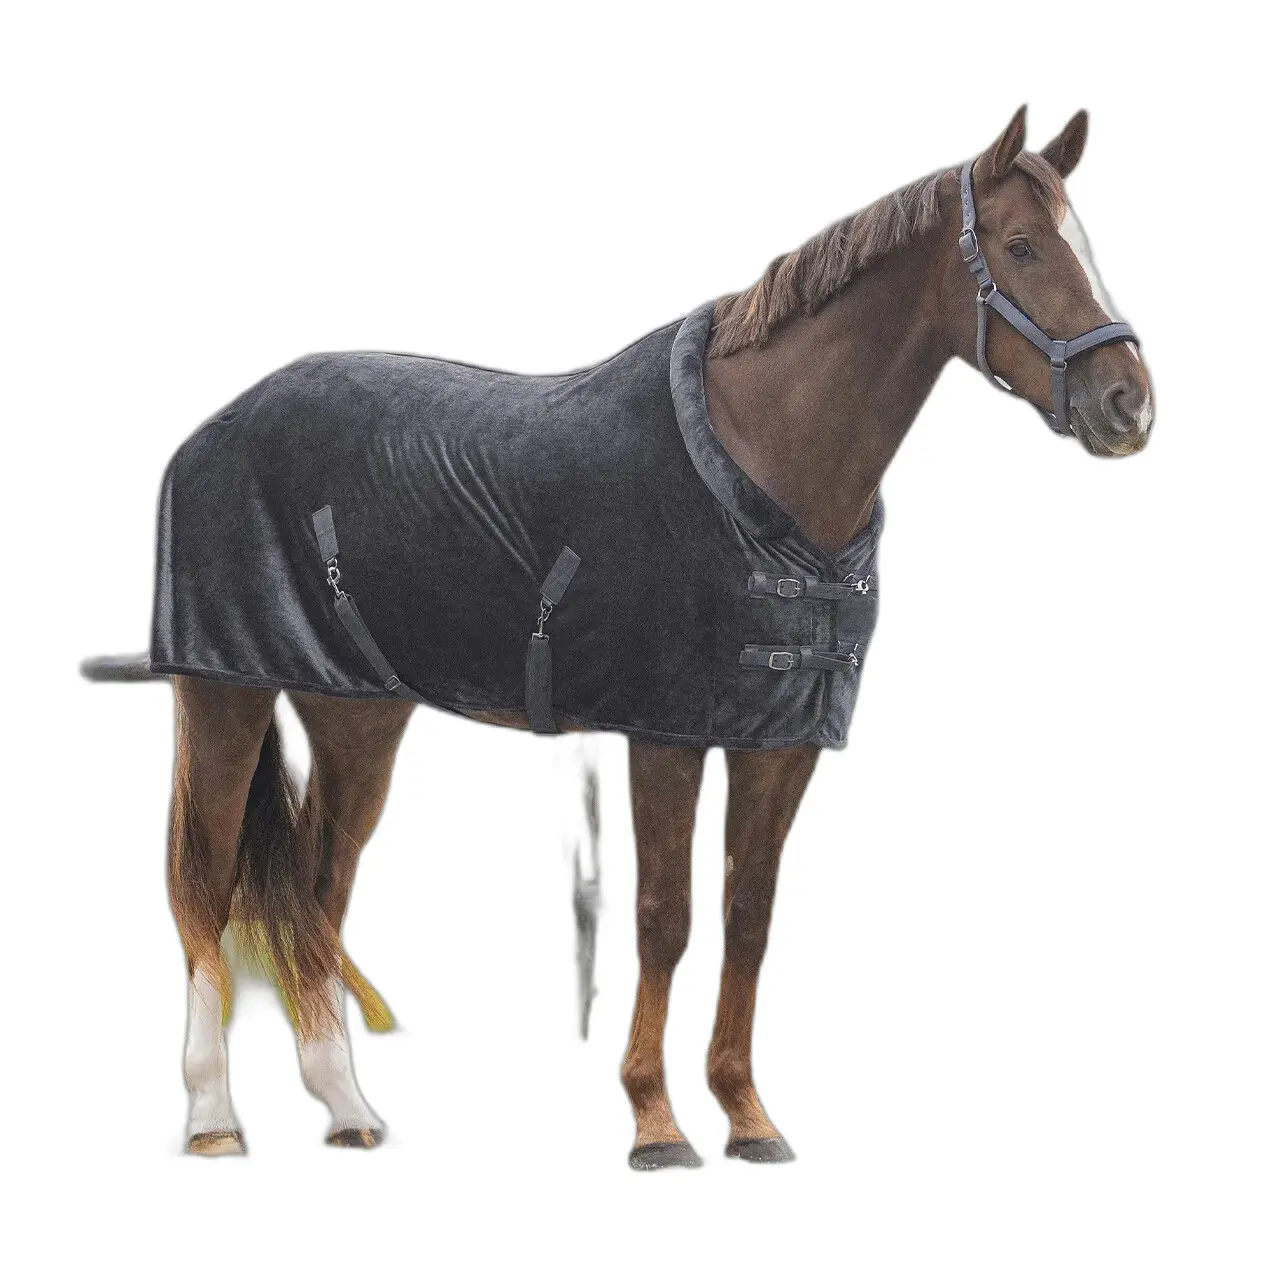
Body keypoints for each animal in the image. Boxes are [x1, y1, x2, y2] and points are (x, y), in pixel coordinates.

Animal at [81, 106, 1153, 1167]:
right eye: (1020, 245)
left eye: (1085, 244)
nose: (1129, 404)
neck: (766, 463)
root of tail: (213, 430)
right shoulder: (666, 735)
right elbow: (663, 919)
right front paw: (656, 1123)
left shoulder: (783, 743)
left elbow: (748, 918)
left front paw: (748, 1117)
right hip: (224, 693)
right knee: (205, 889)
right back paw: (214, 1118)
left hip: (356, 716)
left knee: (316, 890)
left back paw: (346, 1106)